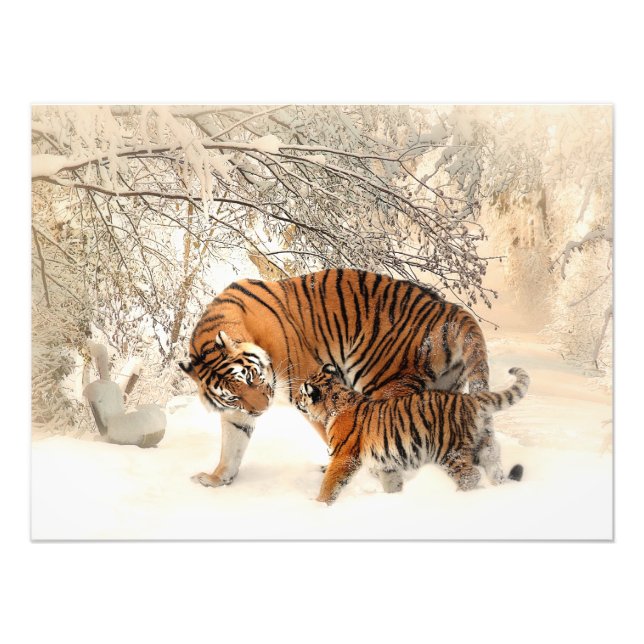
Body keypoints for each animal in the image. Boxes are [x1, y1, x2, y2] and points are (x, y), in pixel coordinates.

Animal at [180, 268, 491, 490]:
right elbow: (232, 445)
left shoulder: (307, 384)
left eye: (252, 377)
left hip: (384, 382)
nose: (262, 409)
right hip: (442, 390)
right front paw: (217, 479)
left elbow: (332, 433)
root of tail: (450, 309)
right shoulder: (237, 412)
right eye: (233, 395)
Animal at [296, 364, 529, 505]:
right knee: (494, 470)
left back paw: (457, 497)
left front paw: (319, 505)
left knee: (470, 476)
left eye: (301, 393)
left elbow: (330, 483)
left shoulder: (343, 457)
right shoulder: (386, 463)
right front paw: (395, 498)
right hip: (485, 447)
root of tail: (471, 399)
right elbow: (392, 483)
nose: (296, 401)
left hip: (449, 451)